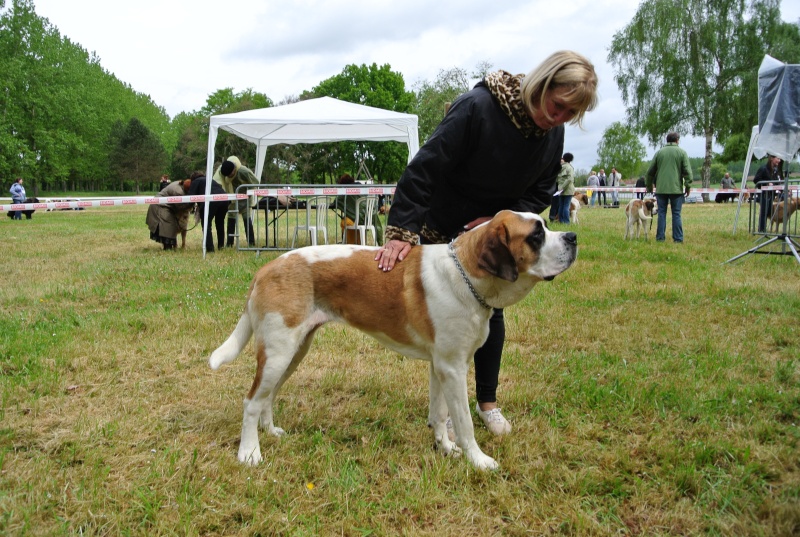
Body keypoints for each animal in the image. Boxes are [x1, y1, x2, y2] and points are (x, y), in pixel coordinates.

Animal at [209, 209, 580, 468]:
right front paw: (478, 460)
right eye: (536, 235)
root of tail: (267, 268)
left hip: (293, 351)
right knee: (251, 401)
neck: (467, 273)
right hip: (279, 351)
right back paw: (249, 453)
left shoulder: (441, 367)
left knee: (267, 397)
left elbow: (440, 413)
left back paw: (270, 432)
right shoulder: (454, 368)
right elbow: (463, 421)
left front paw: (445, 448)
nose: (573, 237)